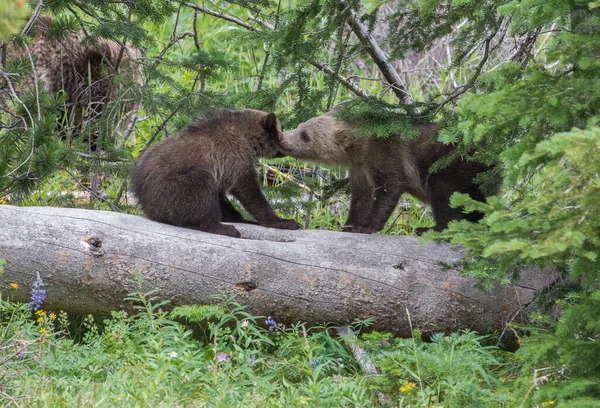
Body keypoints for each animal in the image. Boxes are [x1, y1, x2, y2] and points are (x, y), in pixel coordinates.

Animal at [130, 109, 300, 239]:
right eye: (282, 128)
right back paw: (224, 228)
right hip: (171, 189)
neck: (248, 138)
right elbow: (247, 188)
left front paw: (241, 218)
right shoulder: (234, 157)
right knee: (201, 188)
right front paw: (283, 221)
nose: (288, 144)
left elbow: (223, 197)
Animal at [278, 105, 492, 236]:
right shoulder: (360, 168)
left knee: (444, 192)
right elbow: (361, 197)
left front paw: (366, 226)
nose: (282, 138)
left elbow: (389, 187)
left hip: (452, 164)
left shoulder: (386, 152)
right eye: (300, 126)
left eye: (305, 135)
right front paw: (349, 224)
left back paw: (431, 228)